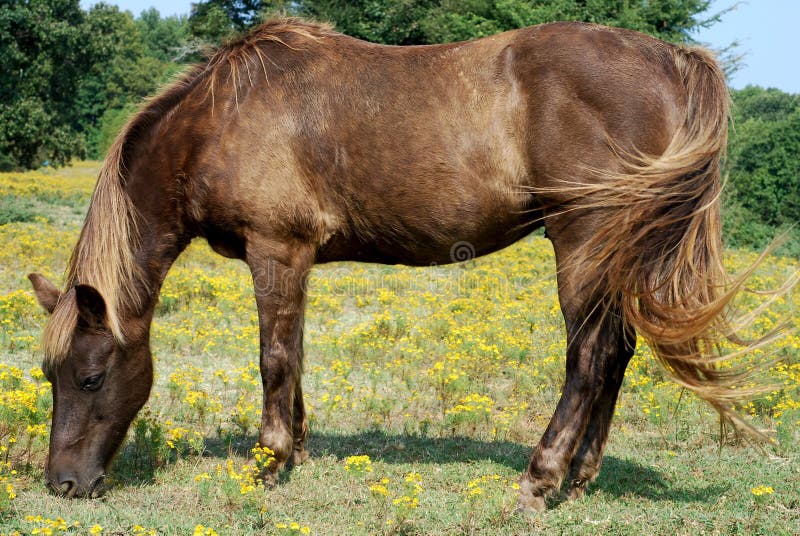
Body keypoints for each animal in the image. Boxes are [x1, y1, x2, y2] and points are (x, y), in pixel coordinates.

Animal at [26, 17, 764, 510]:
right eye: (49, 375)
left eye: (91, 377)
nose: (63, 483)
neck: (224, 117)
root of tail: (670, 58)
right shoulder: (297, 259)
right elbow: (295, 352)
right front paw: (296, 448)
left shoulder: (275, 249)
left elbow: (273, 357)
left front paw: (266, 462)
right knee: (616, 354)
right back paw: (580, 478)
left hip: (583, 241)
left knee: (588, 356)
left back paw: (539, 479)